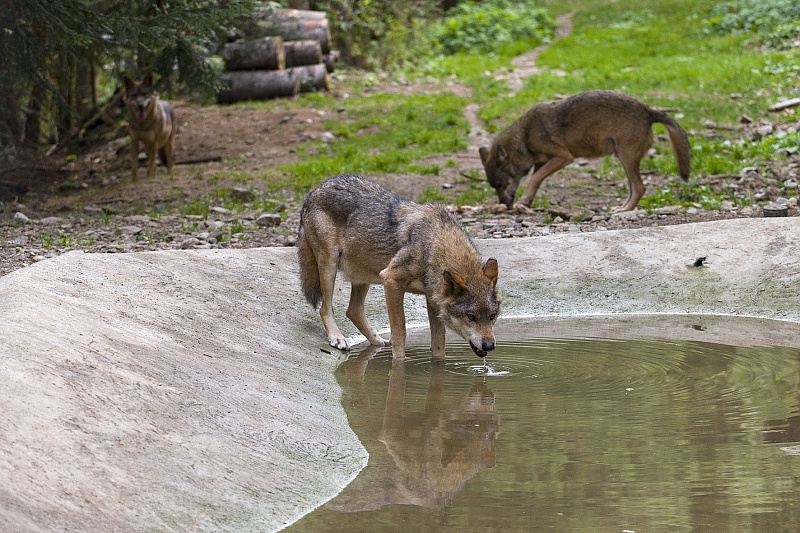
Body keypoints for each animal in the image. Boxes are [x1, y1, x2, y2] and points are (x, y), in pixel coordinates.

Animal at [297, 174, 500, 359]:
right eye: (471, 317)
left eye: (492, 316)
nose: (489, 345)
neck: (432, 245)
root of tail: (314, 192)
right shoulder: (391, 280)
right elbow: (400, 332)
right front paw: (398, 365)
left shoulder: (431, 300)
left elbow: (439, 344)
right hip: (330, 265)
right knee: (325, 308)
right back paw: (337, 338)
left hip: (363, 275)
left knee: (353, 311)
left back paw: (378, 341)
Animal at [479, 90, 691, 212]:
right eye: (494, 187)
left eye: (501, 184)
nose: (504, 204)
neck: (525, 136)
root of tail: (650, 111)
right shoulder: (542, 162)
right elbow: (536, 181)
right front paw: (526, 203)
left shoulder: (564, 157)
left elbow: (534, 178)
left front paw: (523, 201)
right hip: (624, 159)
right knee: (635, 188)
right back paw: (623, 207)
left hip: (626, 158)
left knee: (640, 187)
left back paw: (623, 211)